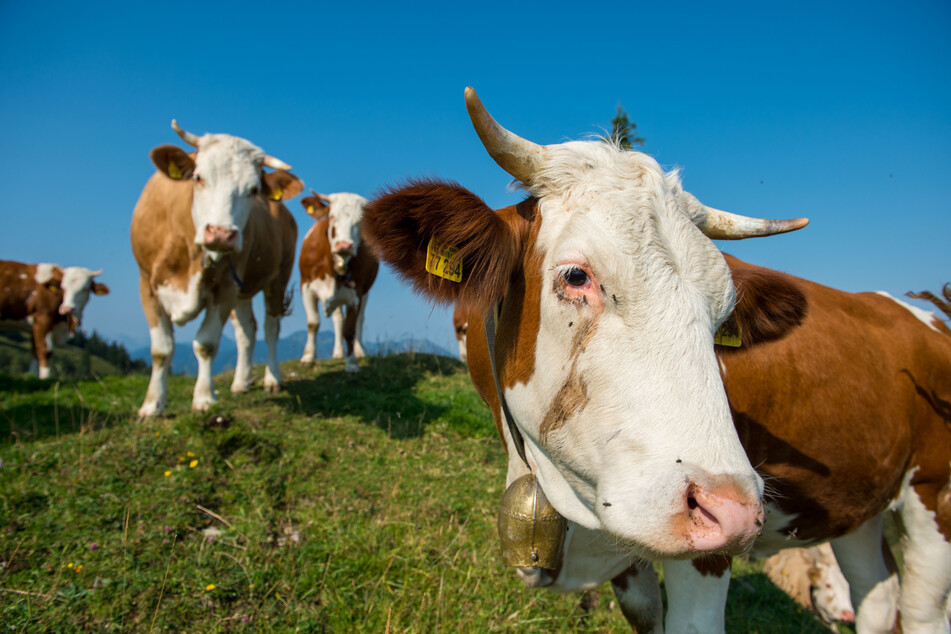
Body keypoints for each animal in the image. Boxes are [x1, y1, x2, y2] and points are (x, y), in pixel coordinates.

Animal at [130, 119, 300, 418]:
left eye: (253, 189)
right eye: (198, 177)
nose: (221, 233)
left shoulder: (225, 288)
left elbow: (206, 344)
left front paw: (204, 398)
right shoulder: (147, 283)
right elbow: (161, 349)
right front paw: (152, 405)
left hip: (277, 277)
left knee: (270, 328)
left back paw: (272, 379)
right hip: (243, 289)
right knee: (247, 331)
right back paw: (241, 382)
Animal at [302, 190, 384, 372]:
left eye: (360, 222)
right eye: (332, 217)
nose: (344, 246)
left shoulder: (356, 294)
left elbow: (350, 329)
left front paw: (352, 363)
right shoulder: (306, 286)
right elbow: (313, 323)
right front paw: (308, 357)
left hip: (365, 293)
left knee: (359, 319)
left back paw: (359, 351)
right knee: (338, 318)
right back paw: (338, 353)